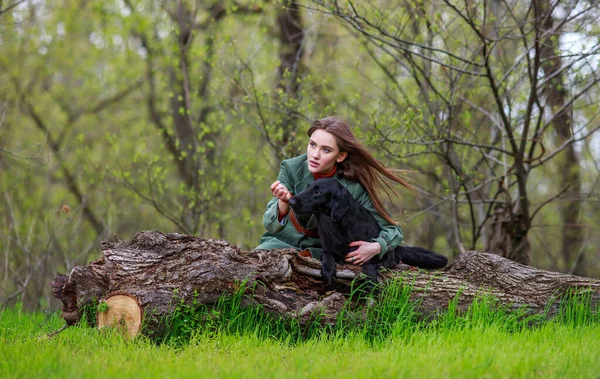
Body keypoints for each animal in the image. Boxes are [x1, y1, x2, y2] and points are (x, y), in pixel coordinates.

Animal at [288, 178, 448, 288]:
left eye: (317, 192)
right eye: (308, 187)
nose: (290, 201)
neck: (337, 225)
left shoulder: (375, 254)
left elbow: (369, 263)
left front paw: (371, 282)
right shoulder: (331, 249)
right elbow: (327, 255)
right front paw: (328, 270)